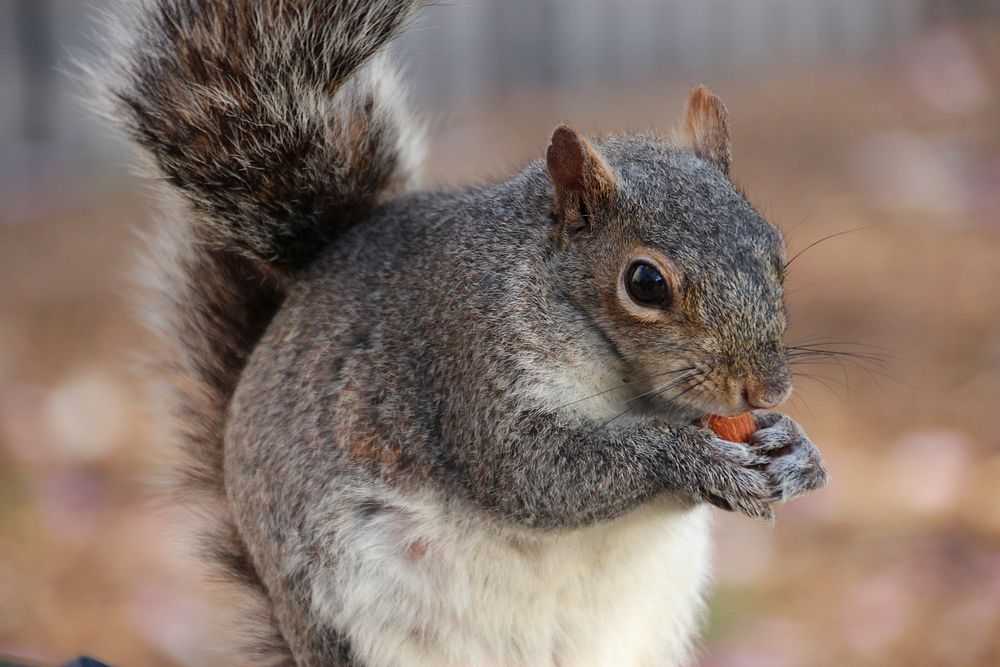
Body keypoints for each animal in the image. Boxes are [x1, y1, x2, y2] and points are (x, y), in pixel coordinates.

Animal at [103, 1, 828, 667]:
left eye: (775, 250)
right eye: (645, 283)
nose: (767, 389)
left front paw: (795, 449)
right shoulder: (469, 364)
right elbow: (536, 472)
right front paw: (692, 457)